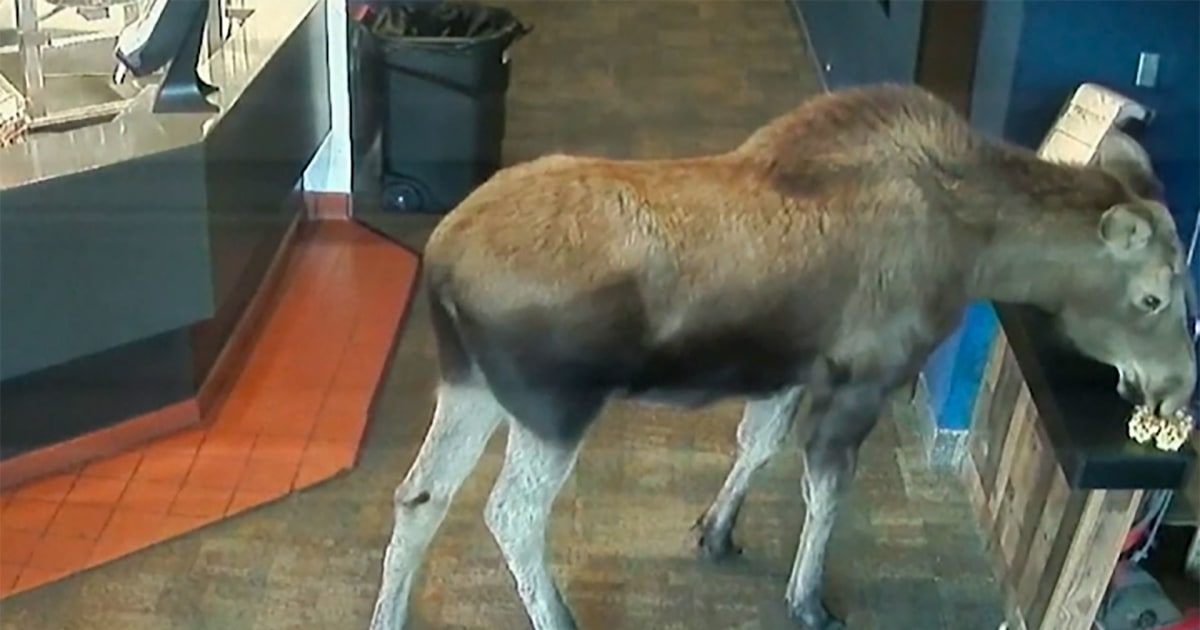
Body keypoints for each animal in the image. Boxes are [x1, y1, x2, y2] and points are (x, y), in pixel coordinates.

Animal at [366, 84, 1197, 630]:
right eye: (1156, 296)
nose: (1176, 387)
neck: (979, 250)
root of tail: (440, 264)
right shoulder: (864, 377)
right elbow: (824, 492)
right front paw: (807, 599)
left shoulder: (793, 370)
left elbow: (756, 444)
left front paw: (716, 530)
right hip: (554, 405)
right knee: (510, 511)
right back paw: (557, 615)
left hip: (469, 382)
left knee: (419, 494)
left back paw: (390, 614)